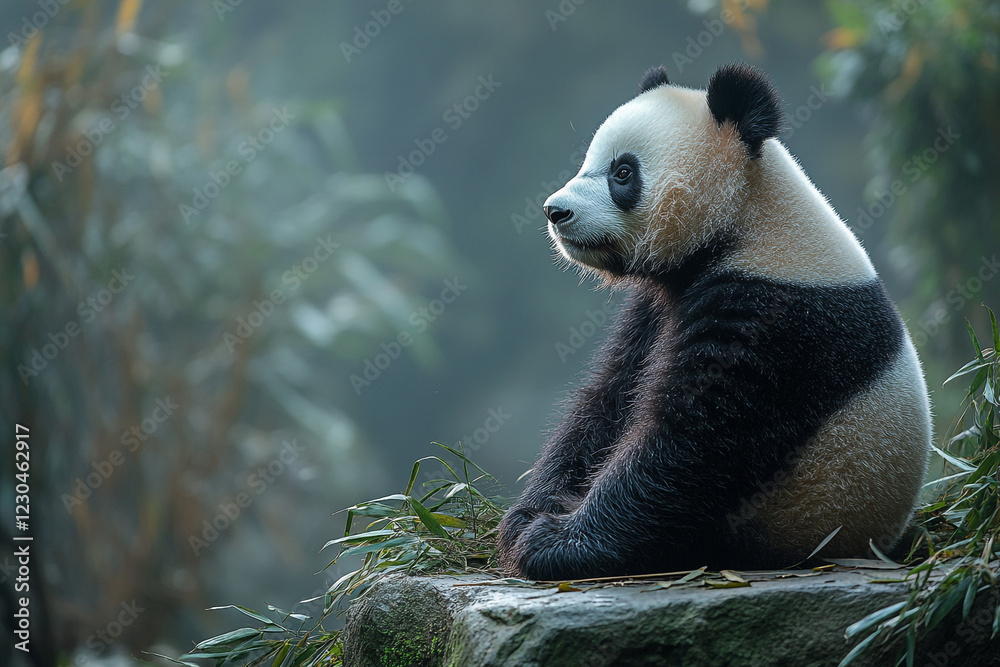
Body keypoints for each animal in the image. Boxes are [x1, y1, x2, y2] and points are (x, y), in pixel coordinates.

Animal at [497, 63, 932, 581]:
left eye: (623, 172)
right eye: (589, 161)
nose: (555, 211)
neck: (746, 225)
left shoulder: (775, 319)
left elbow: (693, 445)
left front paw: (552, 540)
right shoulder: (657, 308)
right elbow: (609, 399)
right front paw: (530, 512)